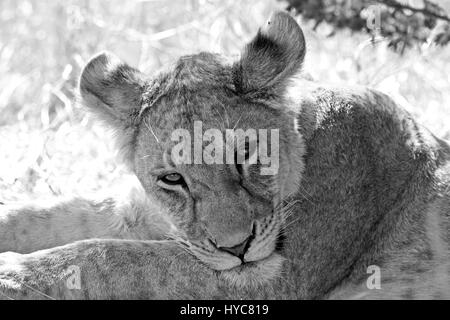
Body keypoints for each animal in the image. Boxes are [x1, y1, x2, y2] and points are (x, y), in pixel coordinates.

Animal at [0, 10, 450, 300]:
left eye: (246, 154)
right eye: (172, 179)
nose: (237, 249)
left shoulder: (276, 276)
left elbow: (114, 257)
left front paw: (10, 274)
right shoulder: (141, 212)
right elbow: (50, 215)